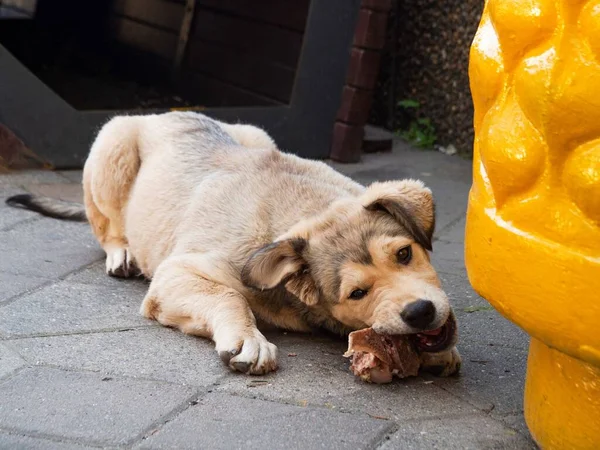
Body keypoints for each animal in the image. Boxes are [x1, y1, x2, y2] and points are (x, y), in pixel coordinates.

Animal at [7, 111, 462, 376]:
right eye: (357, 293)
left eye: (405, 253)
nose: (420, 312)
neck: (307, 207)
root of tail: (168, 109)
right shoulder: (178, 273)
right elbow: (229, 295)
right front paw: (248, 340)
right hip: (111, 145)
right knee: (107, 226)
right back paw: (122, 252)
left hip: (258, 134)